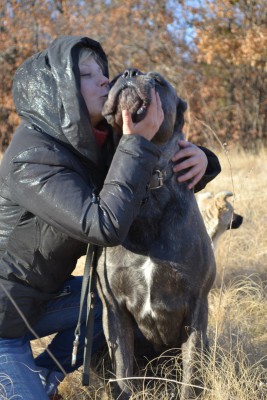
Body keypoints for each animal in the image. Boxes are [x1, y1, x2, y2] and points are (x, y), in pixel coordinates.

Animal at [97, 69, 217, 400]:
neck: (148, 183)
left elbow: (192, 374)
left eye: (160, 82)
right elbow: (123, 371)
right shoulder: (113, 309)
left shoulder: (196, 306)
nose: (129, 73)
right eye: (116, 74)